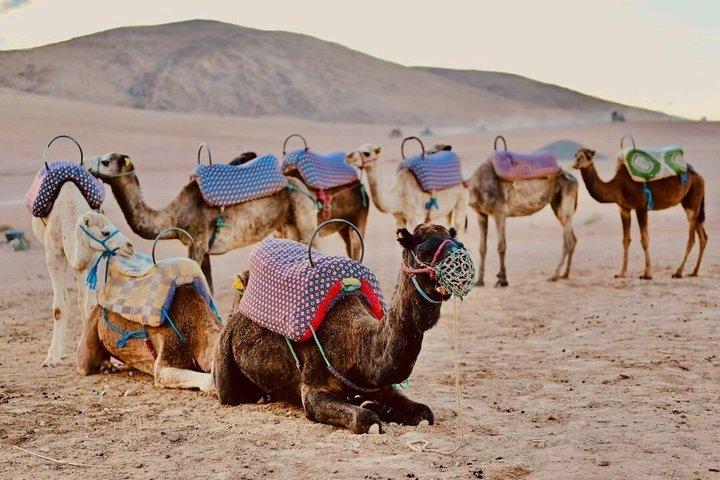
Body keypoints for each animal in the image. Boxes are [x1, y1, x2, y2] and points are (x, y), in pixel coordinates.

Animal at [32, 182, 135, 366]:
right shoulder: (53, 255)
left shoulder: (90, 257)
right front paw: (51, 358)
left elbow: (88, 304)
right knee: (66, 298)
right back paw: (60, 352)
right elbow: (58, 308)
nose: (129, 246)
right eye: (105, 232)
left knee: (80, 299)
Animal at [86, 153, 318, 292]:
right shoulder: (204, 248)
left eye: (106, 161)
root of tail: (302, 187)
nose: (86, 166)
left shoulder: (196, 243)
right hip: (285, 227)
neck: (173, 216)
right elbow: (209, 287)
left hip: (304, 219)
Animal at [214, 224, 460, 434]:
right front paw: (372, 411)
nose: (458, 265)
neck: (358, 346)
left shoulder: (380, 385)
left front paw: (376, 405)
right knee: (228, 395)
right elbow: (365, 420)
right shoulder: (313, 390)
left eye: (456, 242)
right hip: (224, 362)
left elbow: (424, 413)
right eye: (423, 251)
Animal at [468, 139, 579, 287]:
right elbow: (482, 248)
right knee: (573, 238)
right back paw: (565, 274)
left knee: (567, 241)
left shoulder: (499, 213)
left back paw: (554, 276)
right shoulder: (480, 214)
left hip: (566, 204)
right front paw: (479, 281)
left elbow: (501, 246)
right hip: (557, 205)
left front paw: (503, 280)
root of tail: (572, 178)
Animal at [573, 148, 707, 279]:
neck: (618, 186)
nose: (576, 163)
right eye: (575, 155)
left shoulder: (641, 207)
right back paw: (694, 272)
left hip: (693, 200)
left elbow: (645, 240)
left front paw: (647, 274)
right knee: (703, 236)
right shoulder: (624, 209)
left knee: (692, 238)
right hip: (690, 202)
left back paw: (678, 272)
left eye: (588, 155)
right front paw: (621, 273)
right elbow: (626, 240)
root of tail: (700, 177)